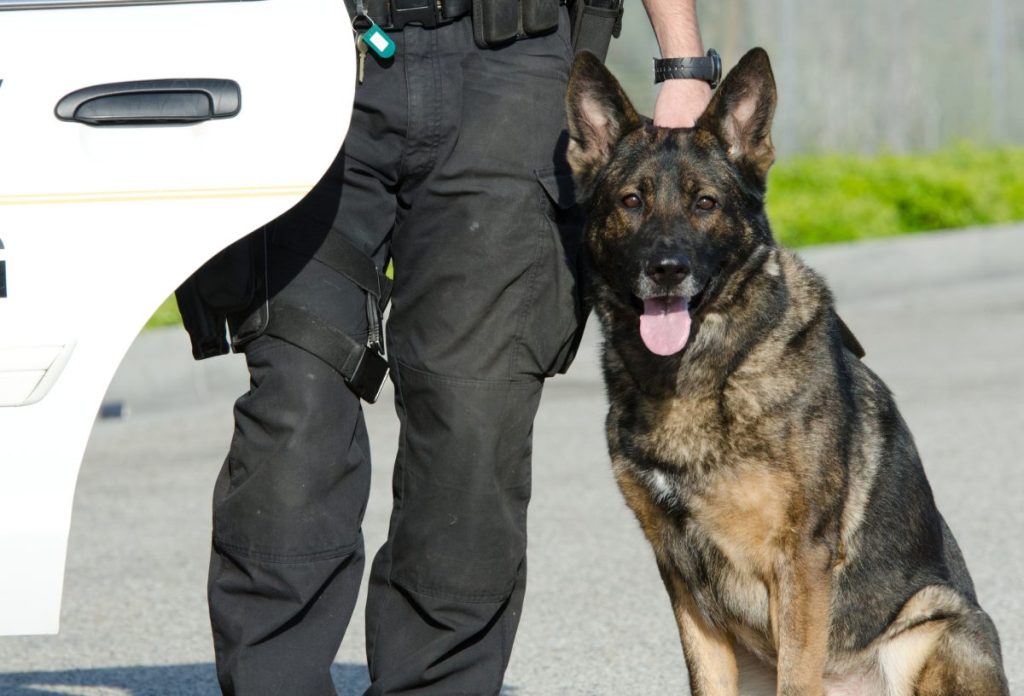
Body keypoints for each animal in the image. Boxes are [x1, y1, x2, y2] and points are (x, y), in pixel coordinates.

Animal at [569, 48, 1007, 696]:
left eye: (705, 203)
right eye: (631, 201)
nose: (667, 269)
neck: (706, 374)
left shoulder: (799, 562)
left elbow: (798, 678)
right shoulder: (683, 578)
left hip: (938, 624)